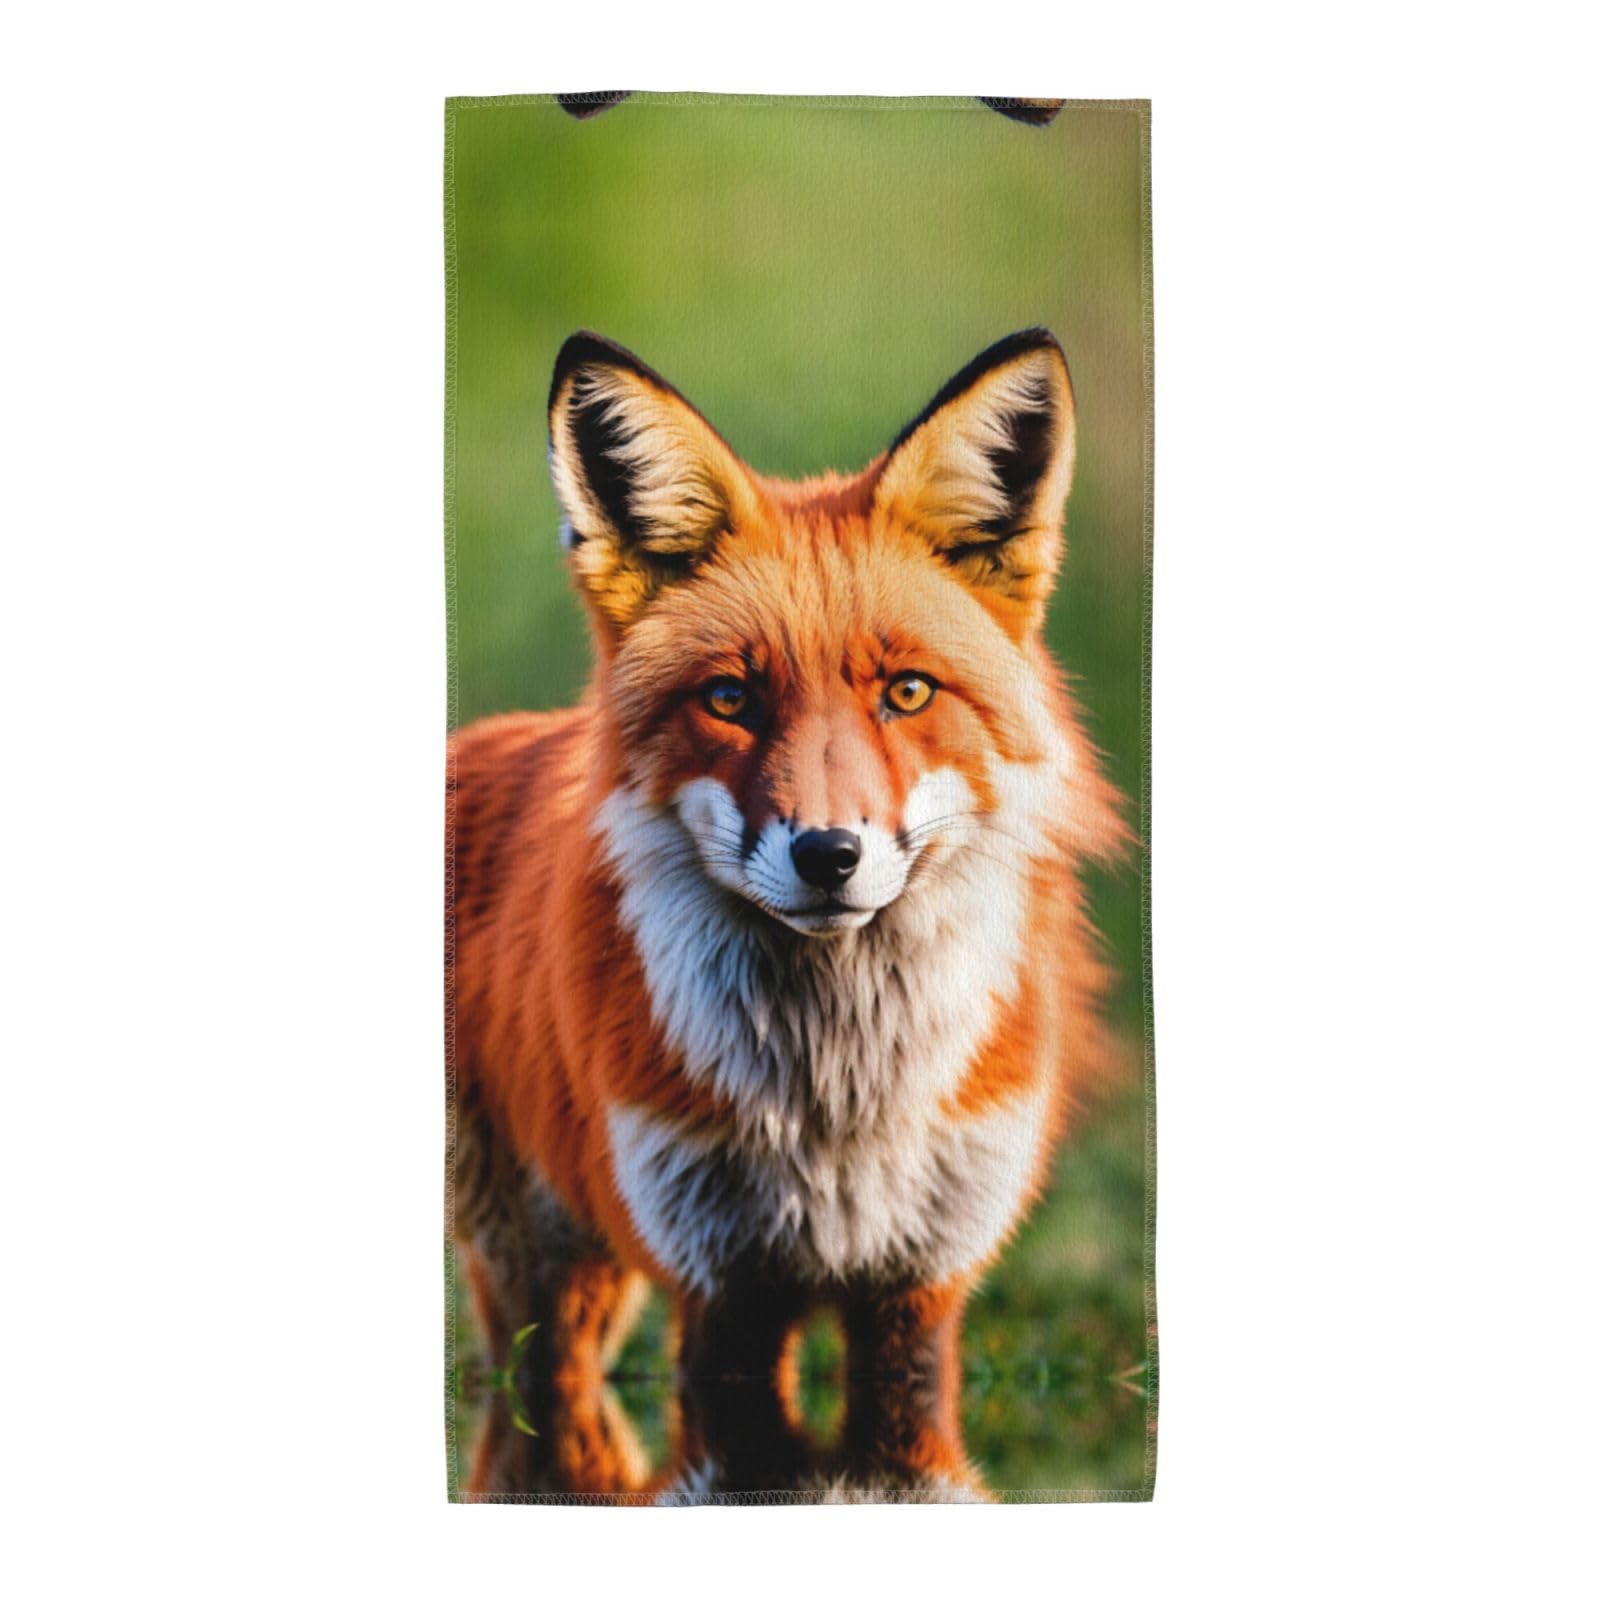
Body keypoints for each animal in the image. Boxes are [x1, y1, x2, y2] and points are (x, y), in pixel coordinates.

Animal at [449, 327, 1125, 1499]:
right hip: (543, 1270)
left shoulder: (923, 1281)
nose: (828, 854)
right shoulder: (719, 1279)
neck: (839, 1100)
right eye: (731, 699)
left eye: (907, 692)